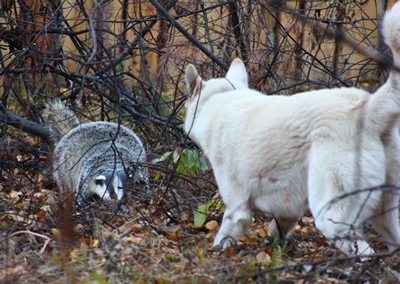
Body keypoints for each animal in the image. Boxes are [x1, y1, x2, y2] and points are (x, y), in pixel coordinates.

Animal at [186, 2, 400, 256]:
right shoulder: (286, 209)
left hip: (331, 215)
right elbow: (277, 229)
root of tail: (368, 111)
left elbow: (226, 234)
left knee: (364, 252)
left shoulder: (236, 205)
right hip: (385, 215)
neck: (219, 101)